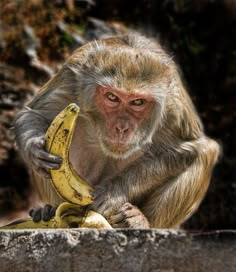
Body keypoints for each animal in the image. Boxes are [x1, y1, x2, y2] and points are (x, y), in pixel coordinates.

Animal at [13, 34, 219, 230]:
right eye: (112, 97)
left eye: (138, 102)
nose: (122, 127)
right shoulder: (71, 77)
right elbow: (34, 114)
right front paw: (35, 151)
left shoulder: (172, 105)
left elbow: (188, 147)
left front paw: (114, 192)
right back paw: (49, 211)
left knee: (205, 153)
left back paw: (138, 221)